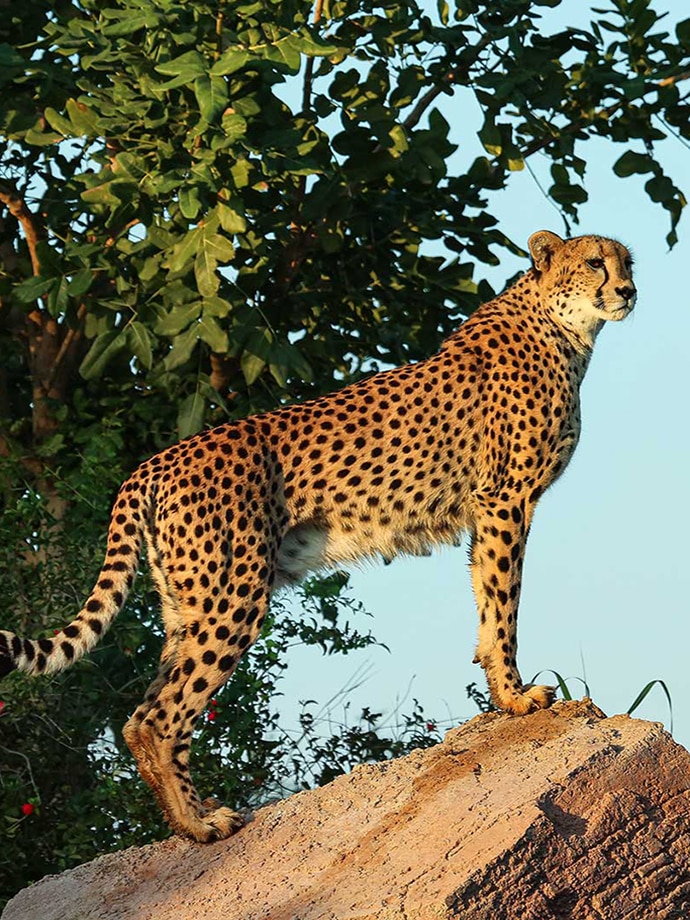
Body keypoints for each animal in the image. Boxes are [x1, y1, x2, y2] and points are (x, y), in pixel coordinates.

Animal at [0, 230, 636, 842]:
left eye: (627, 262)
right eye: (594, 264)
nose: (629, 291)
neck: (564, 330)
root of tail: (153, 462)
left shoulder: (487, 510)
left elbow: (485, 599)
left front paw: (501, 696)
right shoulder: (505, 500)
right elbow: (505, 604)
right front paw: (519, 696)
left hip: (185, 604)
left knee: (146, 715)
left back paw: (190, 820)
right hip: (233, 596)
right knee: (160, 717)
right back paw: (200, 826)